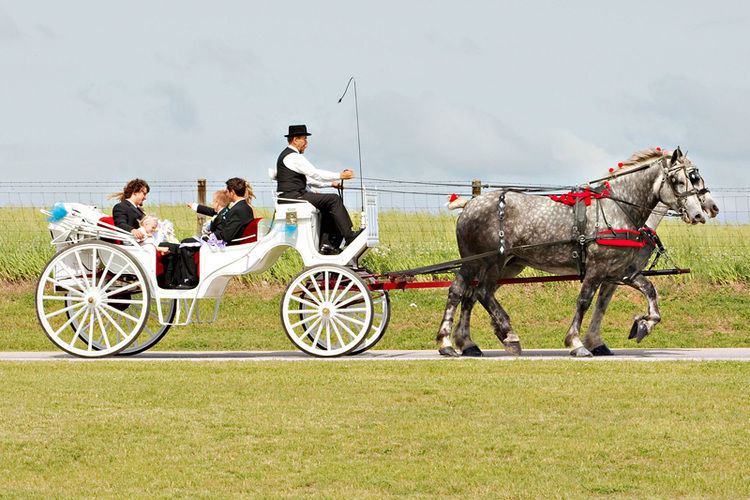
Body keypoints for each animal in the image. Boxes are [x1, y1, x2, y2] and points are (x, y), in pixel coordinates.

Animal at [438, 146, 708, 358]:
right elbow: (585, 301)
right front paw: (577, 343)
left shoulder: (621, 270)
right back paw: (498, 337)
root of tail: (471, 203)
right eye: (679, 181)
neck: (616, 208)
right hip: (486, 261)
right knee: (475, 292)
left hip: (504, 264)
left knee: (467, 293)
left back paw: (461, 343)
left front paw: (644, 325)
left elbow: (649, 291)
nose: (699, 214)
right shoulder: (598, 267)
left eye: (697, 180)